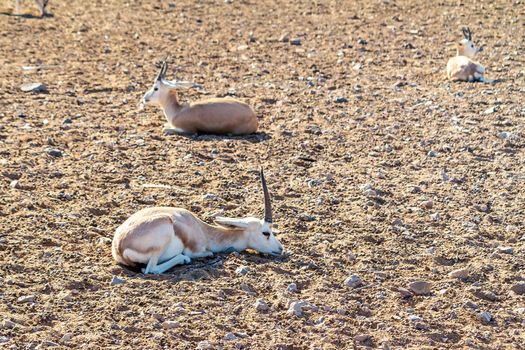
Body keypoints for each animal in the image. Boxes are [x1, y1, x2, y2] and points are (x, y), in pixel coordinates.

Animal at [111, 167, 282, 274]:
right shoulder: (199, 250)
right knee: (151, 269)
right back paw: (183, 260)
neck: (203, 230)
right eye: (266, 233)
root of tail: (119, 245)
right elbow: (209, 253)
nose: (281, 249)